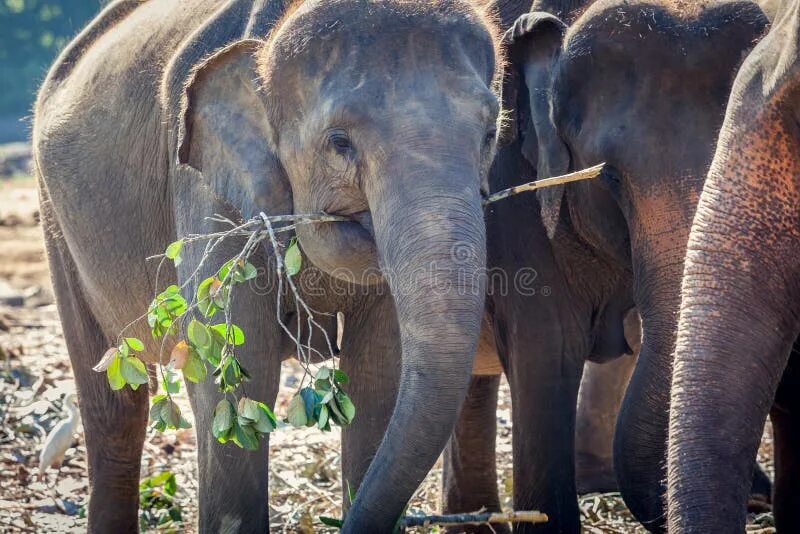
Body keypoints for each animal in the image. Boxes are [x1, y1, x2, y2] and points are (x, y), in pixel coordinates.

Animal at [32, 0, 506, 532]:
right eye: (339, 142)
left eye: (490, 133)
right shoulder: (205, 190)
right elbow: (239, 373)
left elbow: (378, 376)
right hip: (55, 222)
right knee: (114, 408)